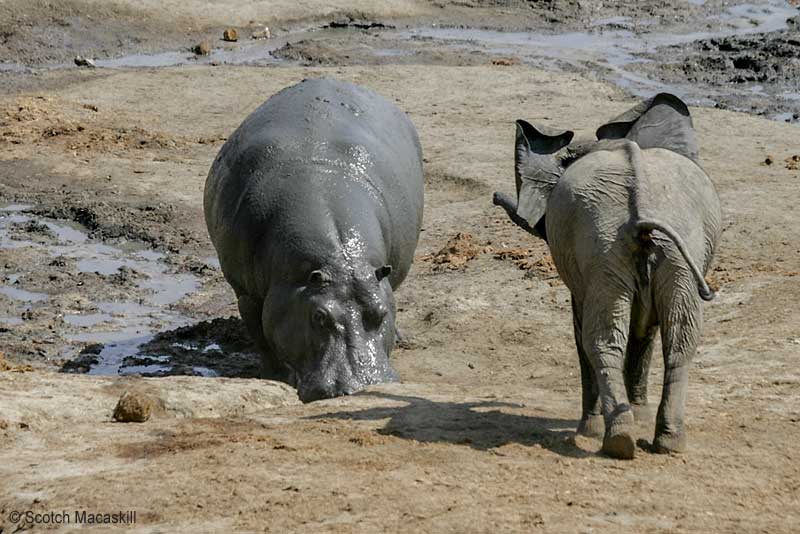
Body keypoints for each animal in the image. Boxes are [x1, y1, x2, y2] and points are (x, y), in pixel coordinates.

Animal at [203, 78, 422, 402]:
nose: (361, 386)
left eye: (380, 313)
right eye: (319, 316)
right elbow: (262, 337)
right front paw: (275, 377)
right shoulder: (247, 294)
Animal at [494, 93, 724, 460]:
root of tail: (639, 204)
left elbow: (585, 328)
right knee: (680, 336)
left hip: (610, 247)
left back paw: (615, 441)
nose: (494, 197)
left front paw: (589, 429)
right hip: (668, 248)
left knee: (601, 339)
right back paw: (664, 443)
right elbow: (646, 328)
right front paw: (638, 419)